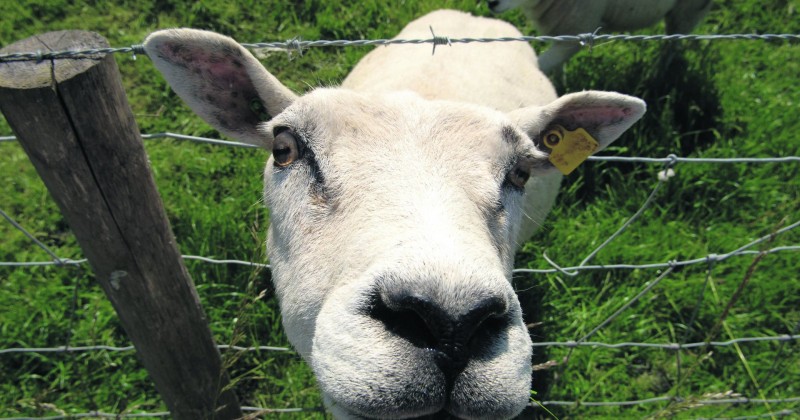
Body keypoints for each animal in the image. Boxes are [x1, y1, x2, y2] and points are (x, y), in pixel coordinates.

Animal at [488, 0, 712, 72]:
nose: (491, 3)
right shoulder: (564, 30)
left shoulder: (579, 27)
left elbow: (541, 65)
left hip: (688, 9)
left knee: (674, 42)